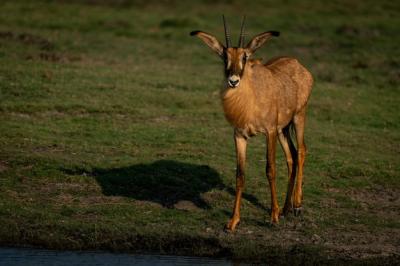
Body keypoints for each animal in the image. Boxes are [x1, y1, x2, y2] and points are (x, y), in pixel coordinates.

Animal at [190, 16, 312, 231]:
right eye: (224, 56)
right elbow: (240, 175)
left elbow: (270, 170)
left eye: (245, 57)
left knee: (301, 151)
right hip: (283, 129)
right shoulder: (240, 135)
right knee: (291, 156)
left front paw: (273, 217)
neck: (250, 98)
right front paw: (233, 221)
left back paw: (297, 206)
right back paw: (286, 208)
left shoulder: (269, 132)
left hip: (298, 117)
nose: (233, 81)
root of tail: (298, 65)